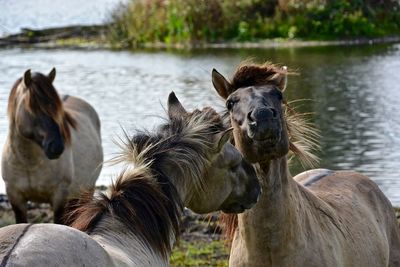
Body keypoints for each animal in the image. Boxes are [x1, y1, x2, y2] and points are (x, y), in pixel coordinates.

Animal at [1, 69, 103, 224]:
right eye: (32, 107)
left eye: (57, 110)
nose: (57, 147)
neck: (28, 162)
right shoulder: (15, 197)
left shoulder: (59, 197)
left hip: (85, 192)